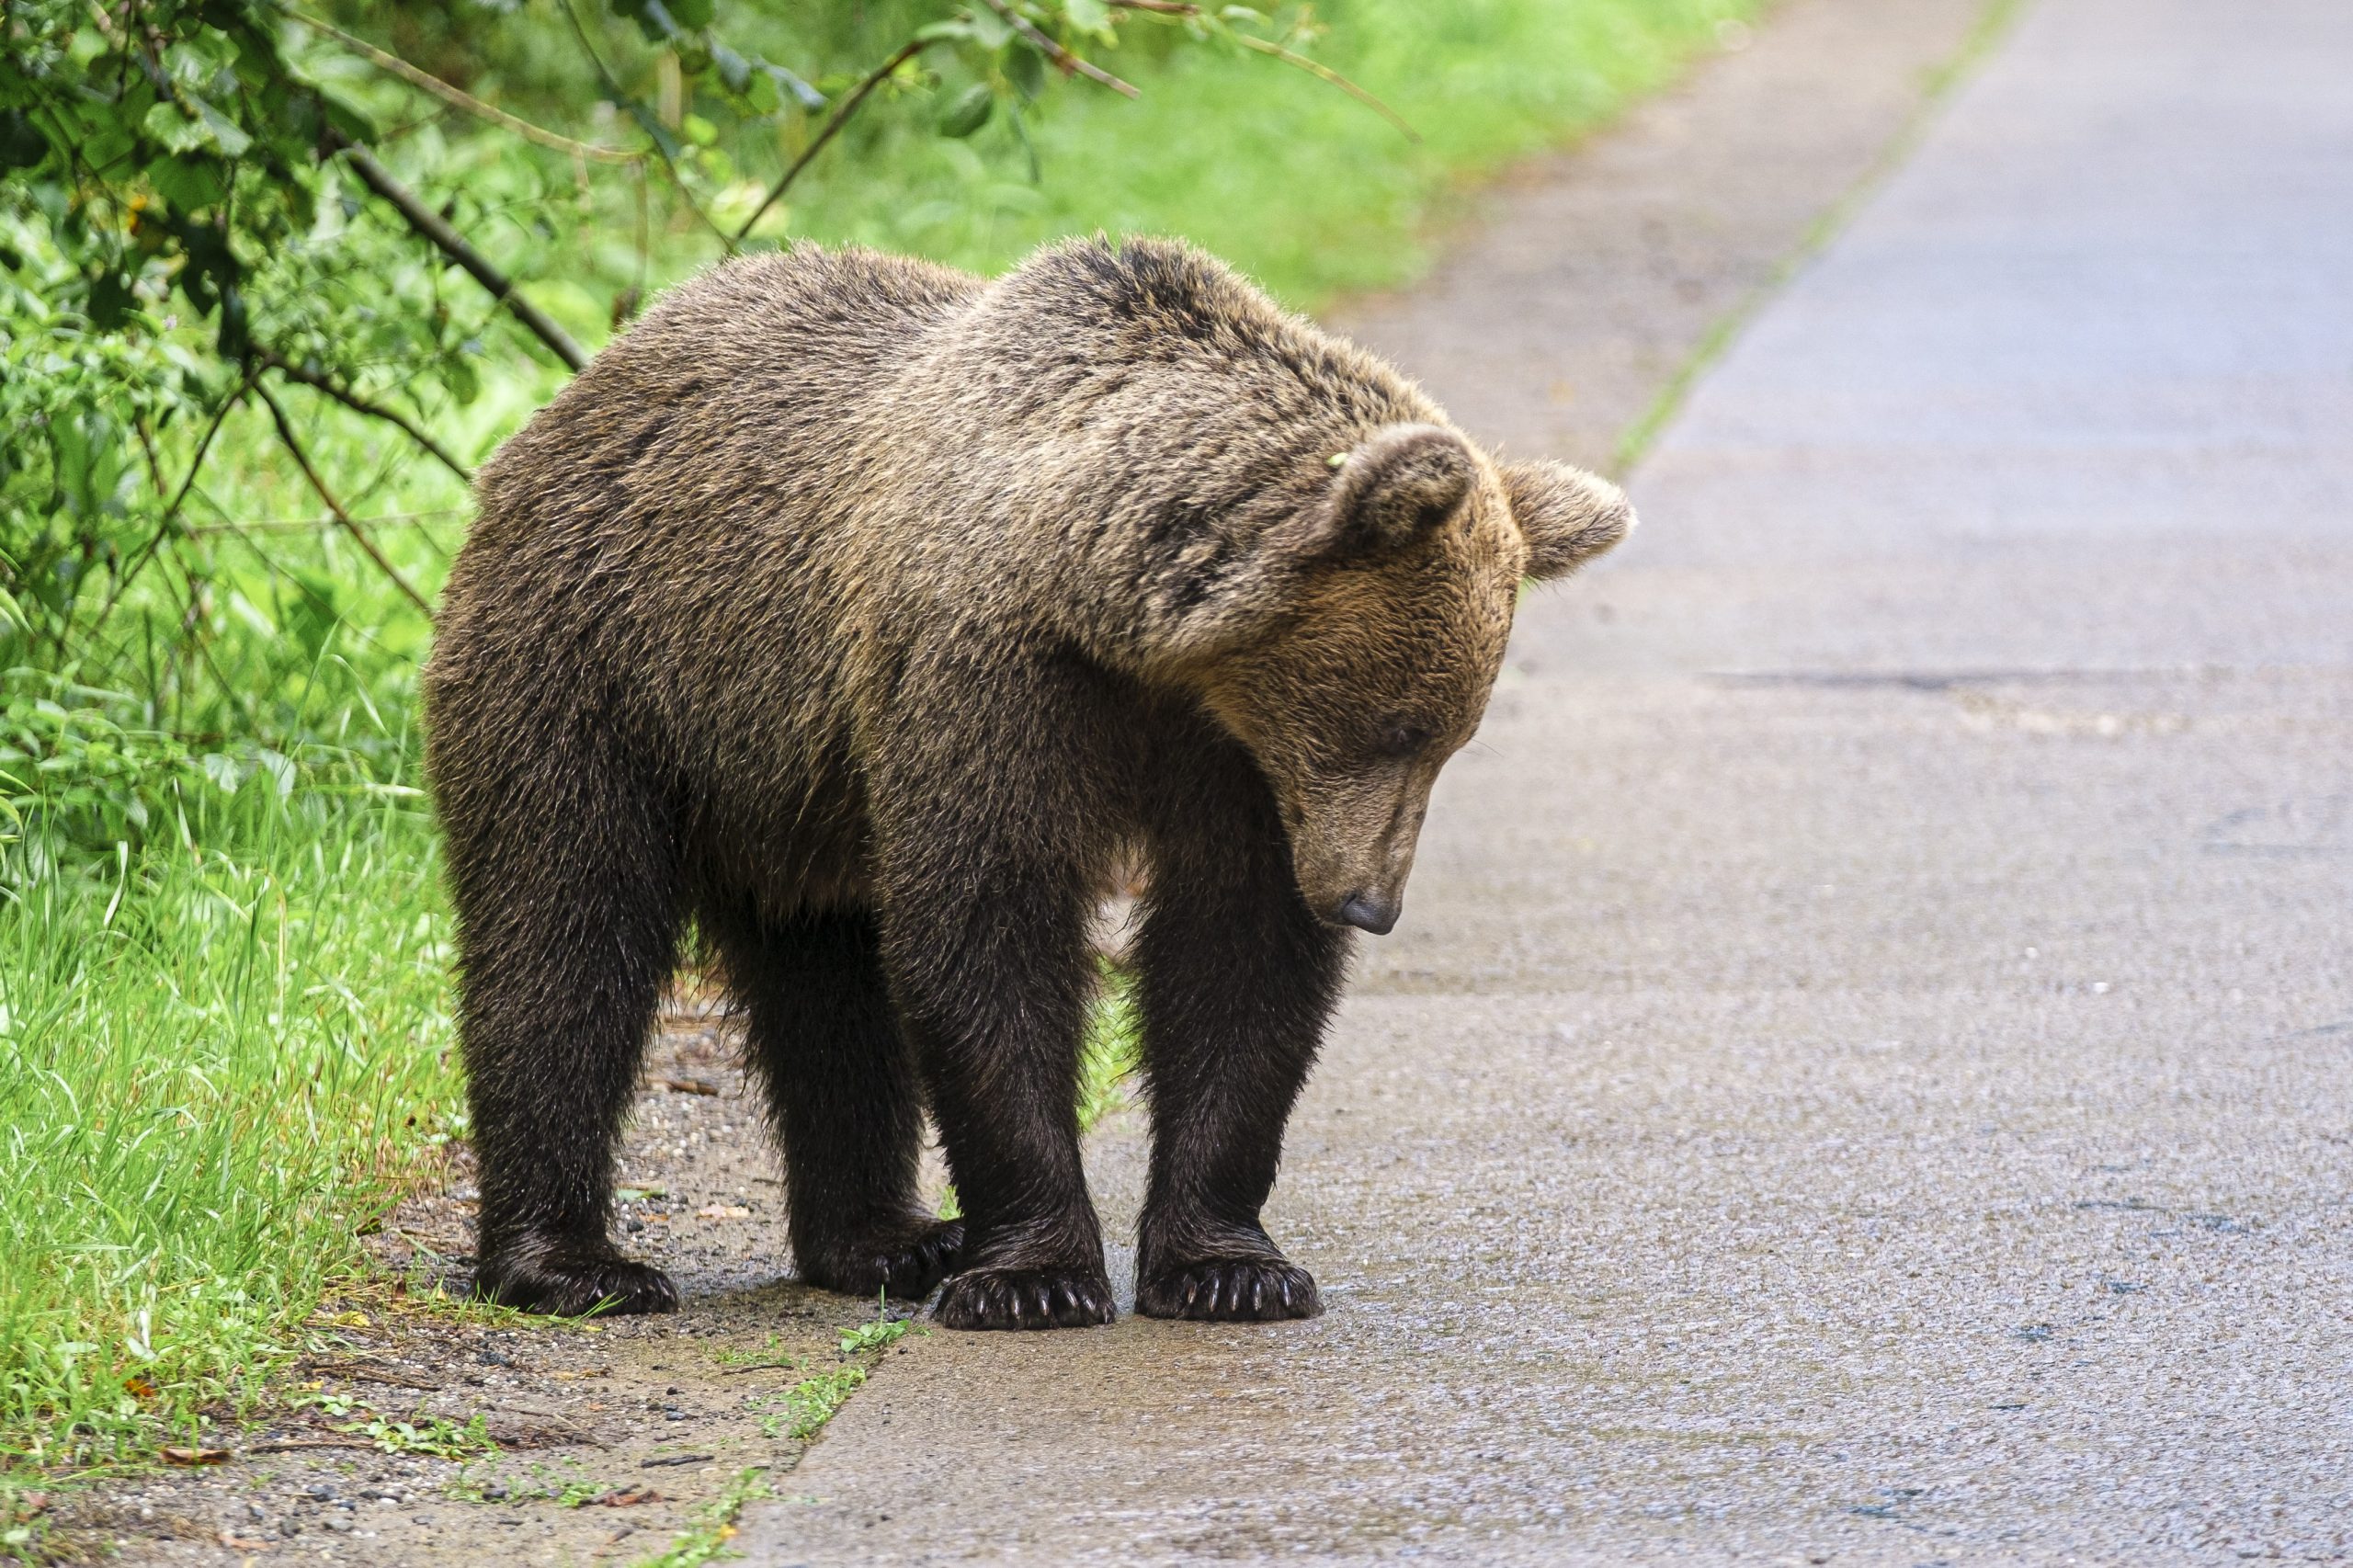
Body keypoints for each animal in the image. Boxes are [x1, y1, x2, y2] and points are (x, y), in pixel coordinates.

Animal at [423, 235, 1628, 1327]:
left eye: (1449, 739)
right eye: (1396, 725)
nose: (1368, 901)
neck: (1119, 620)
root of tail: (571, 397)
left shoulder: (1229, 761)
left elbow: (1237, 951)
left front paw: (1230, 1266)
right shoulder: (989, 678)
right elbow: (986, 921)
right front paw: (1035, 1274)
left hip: (792, 787)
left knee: (825, 982)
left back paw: (885, 1238)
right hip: (601, 666)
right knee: (563, 933)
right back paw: (574, 1263)